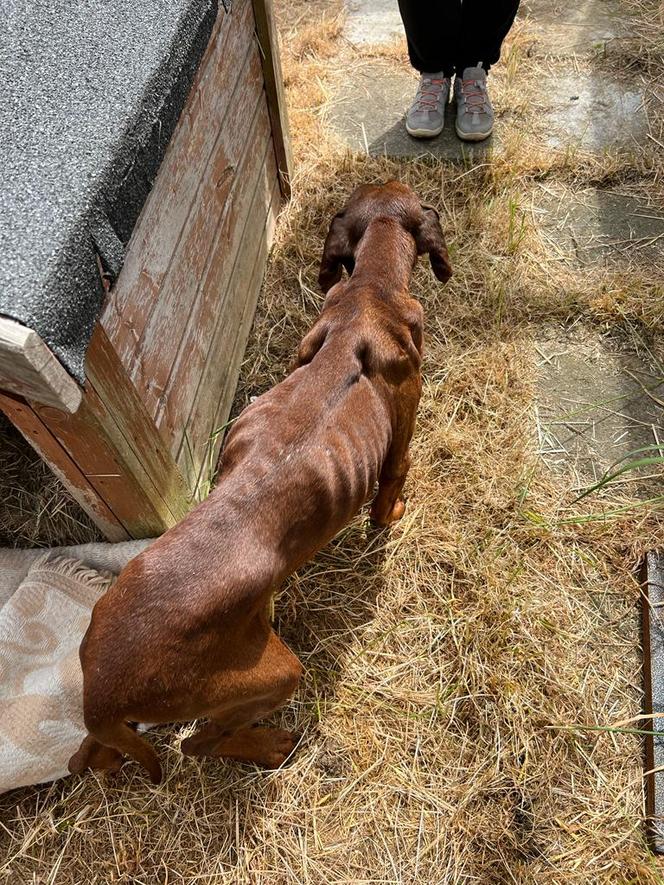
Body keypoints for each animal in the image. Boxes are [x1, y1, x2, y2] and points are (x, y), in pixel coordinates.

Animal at [68, 180, 452, 780]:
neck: (368, 292)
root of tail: (101, 695)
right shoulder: (401, 432)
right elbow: (393, 482)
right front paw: (391, 517)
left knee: (91, 752)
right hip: (275, 674)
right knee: (198, 743)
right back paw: (272, 746)